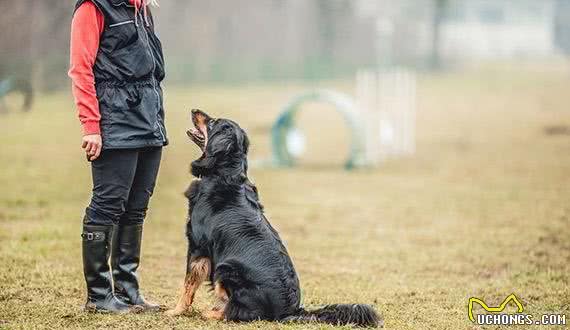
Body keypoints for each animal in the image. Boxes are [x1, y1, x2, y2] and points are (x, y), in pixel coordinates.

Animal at [164, 109, 378, 328]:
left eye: (213, 121)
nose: (194, 110)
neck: (223, 173)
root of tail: (290, 311)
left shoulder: (198, 247)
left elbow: (188, 285)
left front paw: (175, 311)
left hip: (225, 269)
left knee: (237, 311)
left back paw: (211, 313)